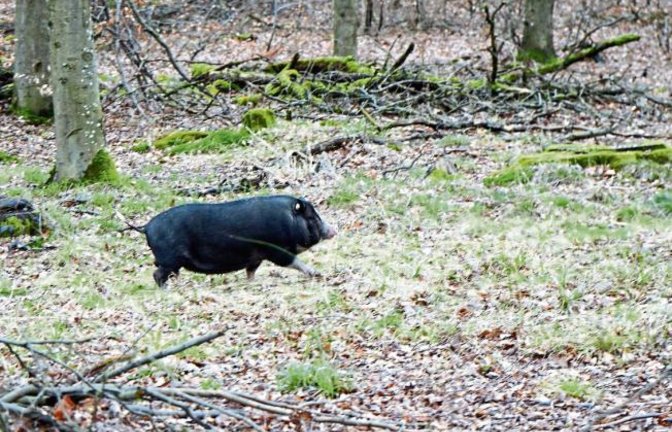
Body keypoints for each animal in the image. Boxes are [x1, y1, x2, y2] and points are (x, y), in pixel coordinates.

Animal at [127, 195, 336, 287]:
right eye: (312, 217)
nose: (334, 230)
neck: (288, 222)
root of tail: (146, 227)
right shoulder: (275, 250)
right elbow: (293, 261)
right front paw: (317, 274)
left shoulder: (256, 257)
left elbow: (251, 271)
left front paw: (252, 283)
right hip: (170, 259)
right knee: (157, 274)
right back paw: (166, 290)